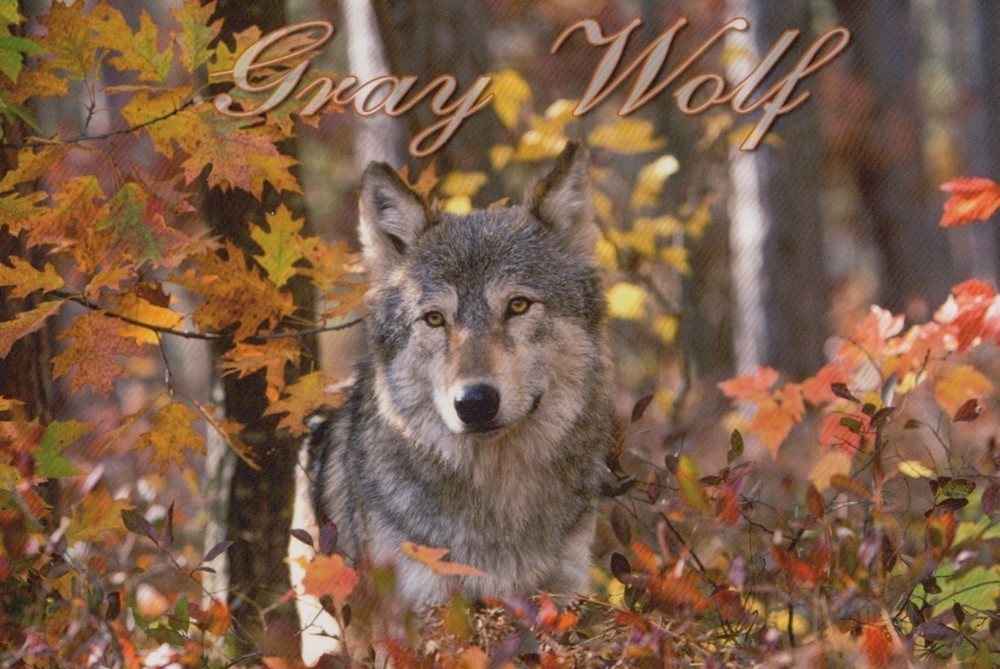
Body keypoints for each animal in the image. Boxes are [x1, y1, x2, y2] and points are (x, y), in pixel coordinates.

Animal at [289, 142, 614, 662]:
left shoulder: (555, 602)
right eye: (435, 318)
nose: (475, 401)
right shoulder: (415, 621)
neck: (498, 502)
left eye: (518, 306)